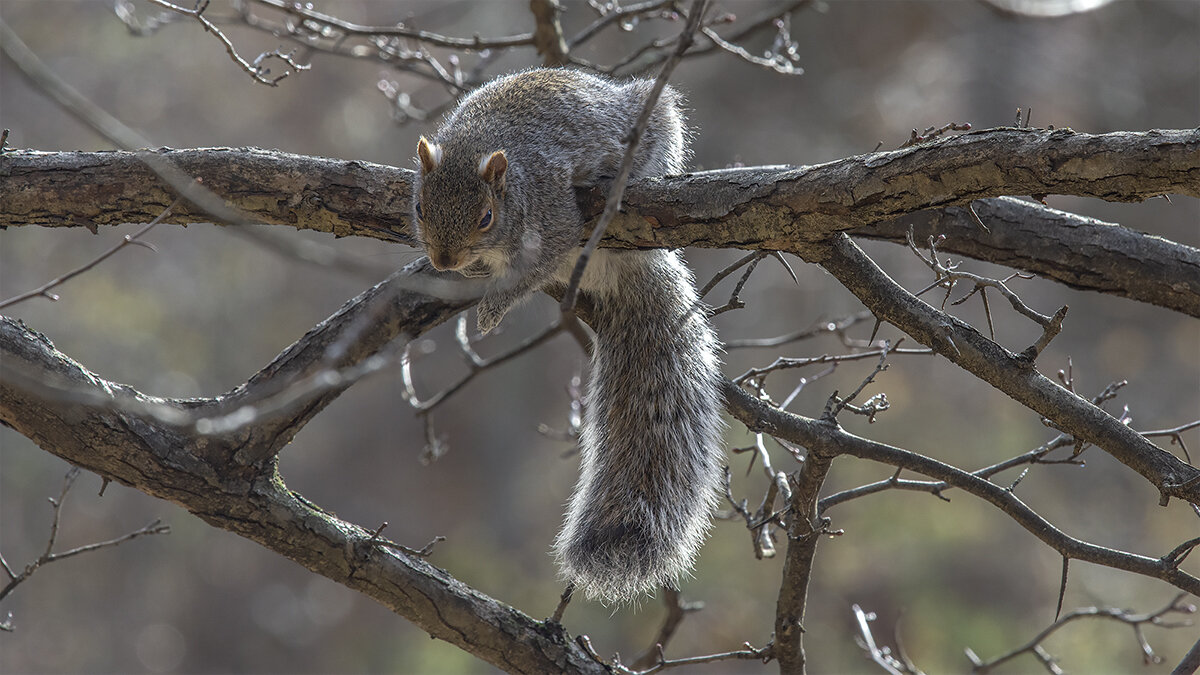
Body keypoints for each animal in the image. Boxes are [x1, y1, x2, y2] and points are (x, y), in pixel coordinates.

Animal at [412, 68, 720, 600]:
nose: (444, 262)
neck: (479, 143)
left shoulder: (553, 211)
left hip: (654, 121)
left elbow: (537, 265)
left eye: (486, 217)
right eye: (419, 208)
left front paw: (493, 309)